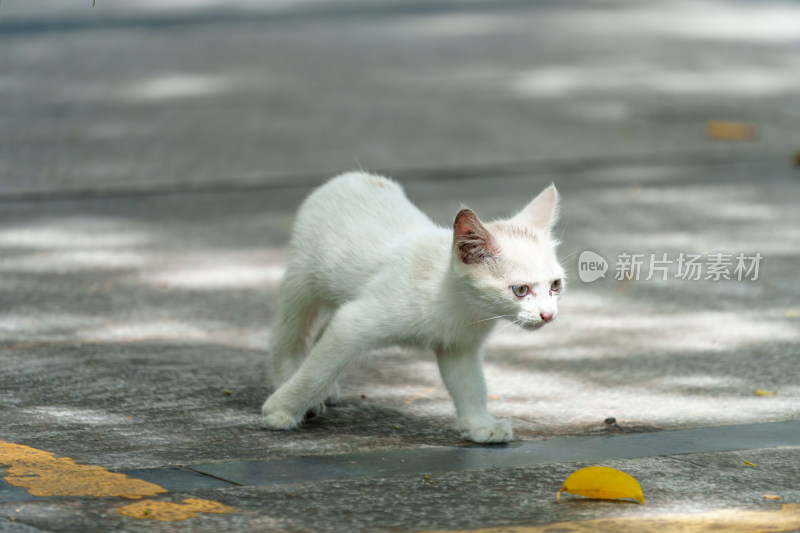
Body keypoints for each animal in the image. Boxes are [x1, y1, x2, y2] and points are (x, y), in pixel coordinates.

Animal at [262, 172, 564, 442]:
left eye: (556, 285)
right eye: (521, 290)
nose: (548, 315)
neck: (461, 304)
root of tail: (354, 176)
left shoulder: (459, 346)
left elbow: (470, 385)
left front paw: (480, 425)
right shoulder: (354, 322)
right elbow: (318, 370)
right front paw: (282, 409)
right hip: (303, 281)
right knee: (289, 336)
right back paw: (291, 382)